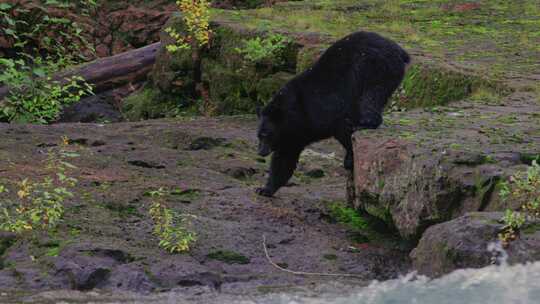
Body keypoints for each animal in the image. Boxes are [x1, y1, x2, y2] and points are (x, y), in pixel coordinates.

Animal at [256, 30, 410, 197]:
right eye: (259, 136)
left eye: (265, 135)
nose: (260, 152)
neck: (293, 113)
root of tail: (400, 51)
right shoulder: (293, 134)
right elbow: (284, 159)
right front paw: (264, 189)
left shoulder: (322, 110)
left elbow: (343, 129)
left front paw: (350, 159)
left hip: (374, 69)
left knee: (370, 97)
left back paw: (365, 123)